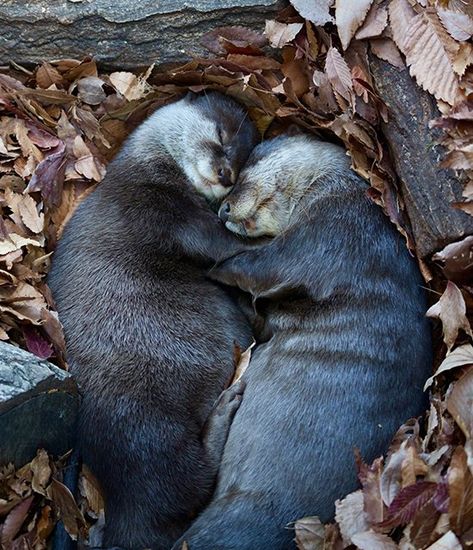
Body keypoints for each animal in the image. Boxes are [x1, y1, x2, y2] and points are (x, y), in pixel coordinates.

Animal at [48, 92, 258, 548]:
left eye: (244, 160)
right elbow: (216, 243)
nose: (226, 174)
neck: (147, 171)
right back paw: (225, 406)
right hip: (145, 426)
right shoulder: (158, 209)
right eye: (221, 135)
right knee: (190, 481)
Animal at [174, 135, 432, 550]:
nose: (225, 208)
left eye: (245, 170)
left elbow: (256, 267)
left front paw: (212, 270)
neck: (337, 191)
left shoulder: (332, 233)